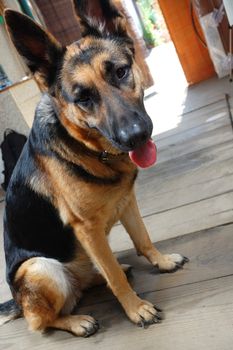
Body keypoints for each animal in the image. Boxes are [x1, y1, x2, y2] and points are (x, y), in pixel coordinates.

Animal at [0, 0, 188, 338]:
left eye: (121, 72)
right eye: (83, 98)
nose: (136, 136)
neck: (91, 149)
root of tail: (18, 302)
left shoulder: (127, 202)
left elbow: (143, 240)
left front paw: (162, 261)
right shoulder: (87, 229)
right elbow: (115, 278)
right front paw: (136, 308)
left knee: (92, 276)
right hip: (42, 267)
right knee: (41, 321)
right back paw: (76, 321)